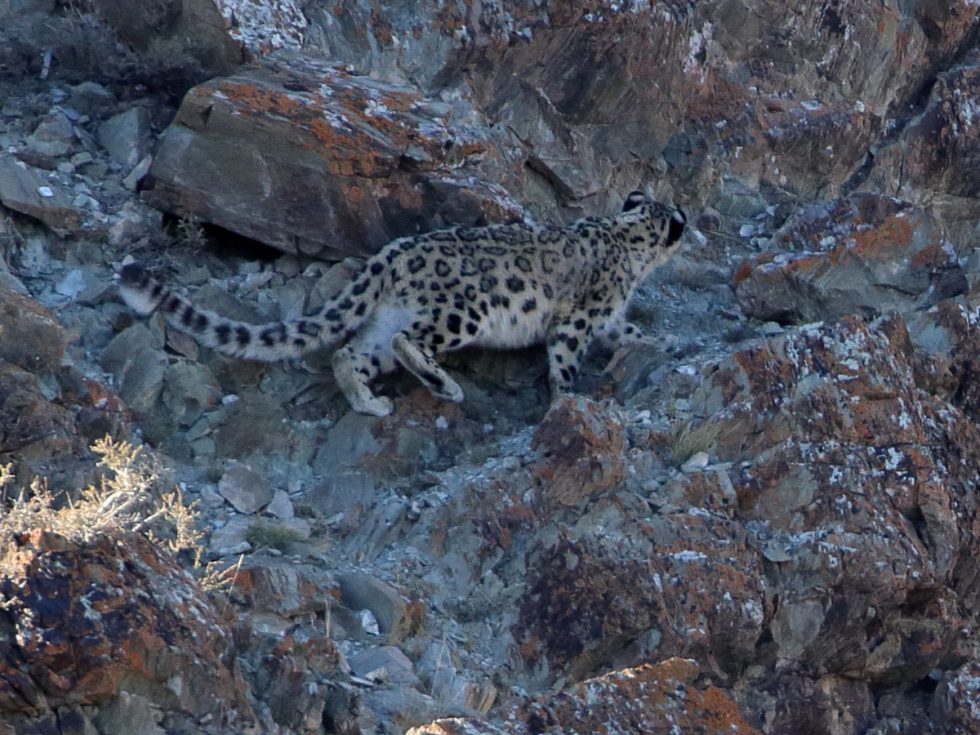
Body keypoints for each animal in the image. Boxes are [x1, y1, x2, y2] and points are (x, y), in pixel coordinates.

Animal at [117, 191, 687, 417]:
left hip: (386, 320)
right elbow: (566, 358)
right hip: (463, 310)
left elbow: (629, 331)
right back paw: (445, 386)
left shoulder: (608, 318)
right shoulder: (579, 318)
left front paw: (662, 341)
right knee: (406, 341)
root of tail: (392, 253)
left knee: (351, 352)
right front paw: (569, 397)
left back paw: (370, 403)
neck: (627, 238)